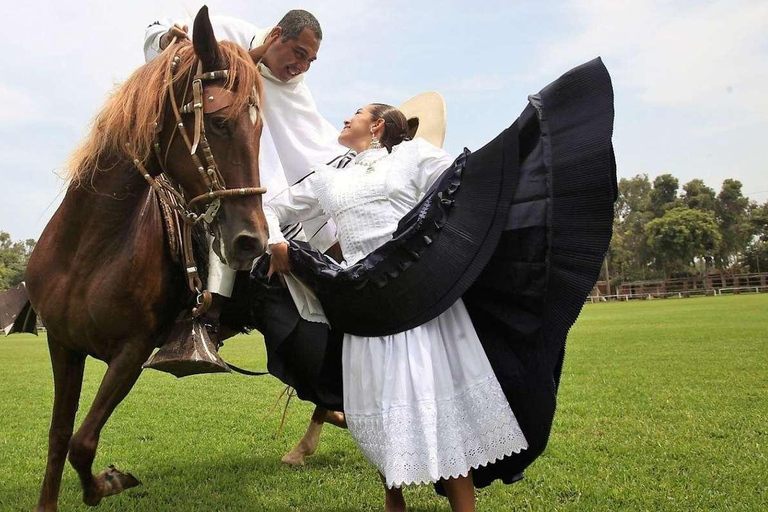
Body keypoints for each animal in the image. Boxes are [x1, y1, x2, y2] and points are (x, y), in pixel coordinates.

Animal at [25, 7, 270, 508]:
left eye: (260, 128)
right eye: (218, 122)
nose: (252, 241)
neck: (89, 249)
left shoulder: (131, 352)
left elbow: (83, 441)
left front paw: (108, 483)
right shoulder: (61, 344)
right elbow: (60, 436)